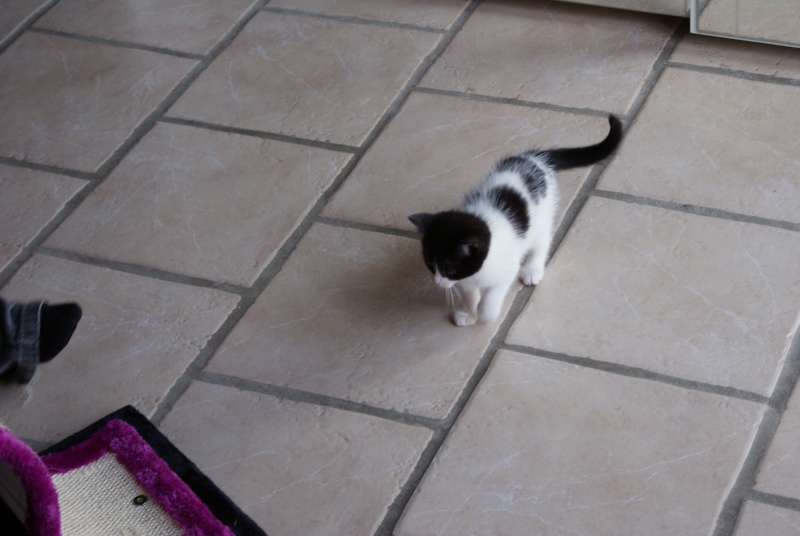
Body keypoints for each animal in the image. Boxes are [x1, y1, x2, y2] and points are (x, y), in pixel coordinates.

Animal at [410, 114, 620, 326]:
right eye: (429, 263)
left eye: (449, 269)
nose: (436, 282)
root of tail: (534, 158)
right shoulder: (466, 281)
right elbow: (470, 294)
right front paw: (467, 312)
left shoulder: (507, 269)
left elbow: (490, 300)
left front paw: (485, 315)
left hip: (543, 214)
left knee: (543, 240)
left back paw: (533, 269)